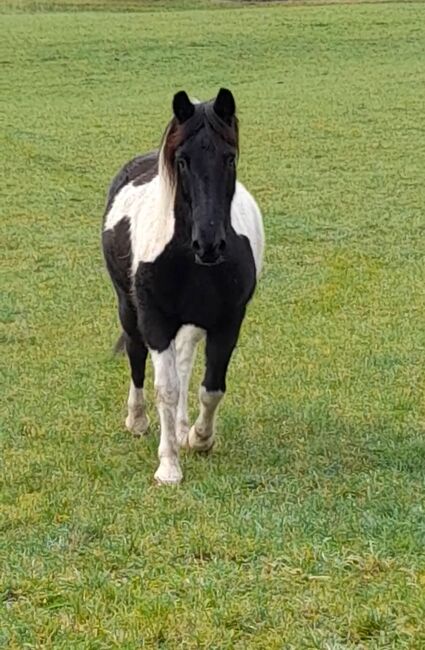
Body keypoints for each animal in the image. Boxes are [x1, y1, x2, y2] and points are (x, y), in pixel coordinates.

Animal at [101, 87, 264, 480]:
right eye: (183, 161)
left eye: (229, 158)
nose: (209, 244)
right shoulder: (155, 320)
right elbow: (165, 388)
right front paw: (168, 467)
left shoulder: (227, 322)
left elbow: (211, 388)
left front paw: (198, 438)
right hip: (128, 309)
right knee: (136, 355)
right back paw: (137, 420)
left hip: (191, 323)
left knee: (185, 362)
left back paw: (179, 426)